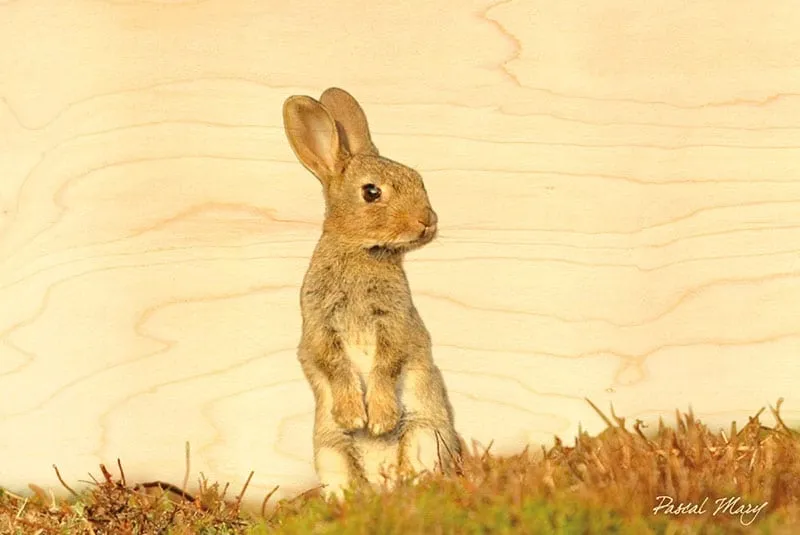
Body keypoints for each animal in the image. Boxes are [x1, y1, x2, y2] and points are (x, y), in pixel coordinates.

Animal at [282, 87, 461, 499]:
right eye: (371, 191)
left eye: (417, 178)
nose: (428, 220)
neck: (361, 251)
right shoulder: (320, 323)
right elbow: (334, 365)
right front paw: (354, 415)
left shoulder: (394, 321)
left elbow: (386, 364)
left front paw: (379, 420)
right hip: (330, 452)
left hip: (425, 435)